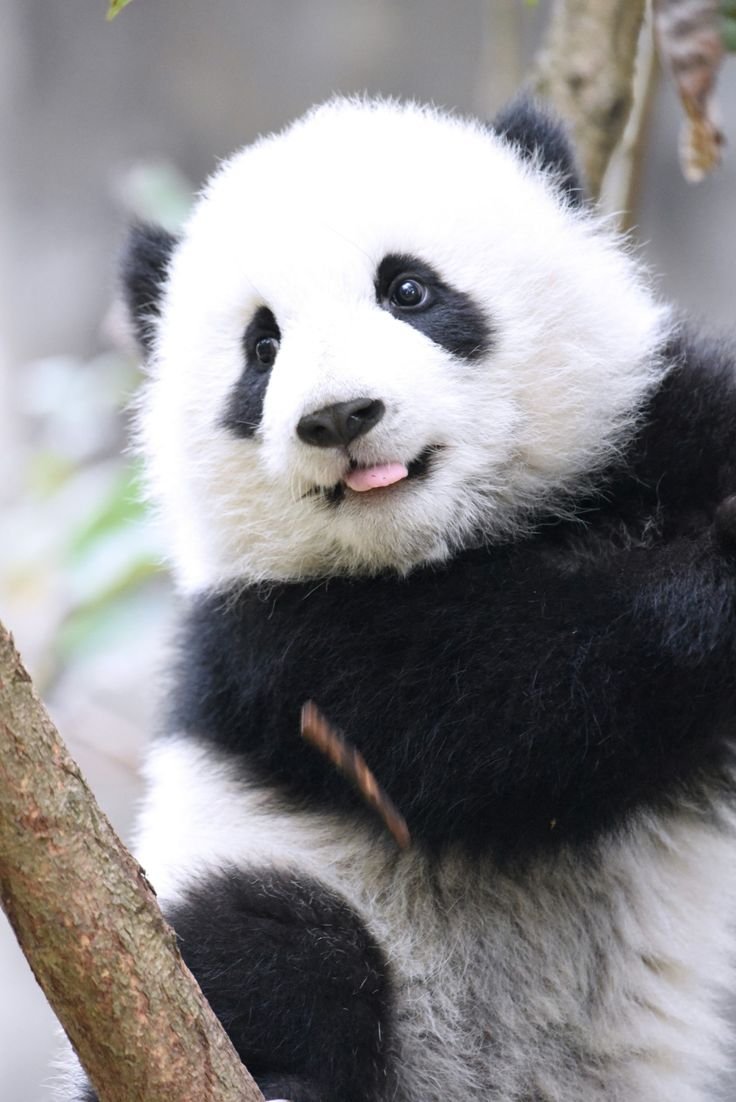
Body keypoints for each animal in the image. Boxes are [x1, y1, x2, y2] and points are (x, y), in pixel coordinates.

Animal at [69, 96, 736, 1101]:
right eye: (263, 347)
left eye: (410, 290)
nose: (340, 416)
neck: (452, 544)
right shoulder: (270, 643)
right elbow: (494, 709)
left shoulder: (661, 425)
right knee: (273, 944)